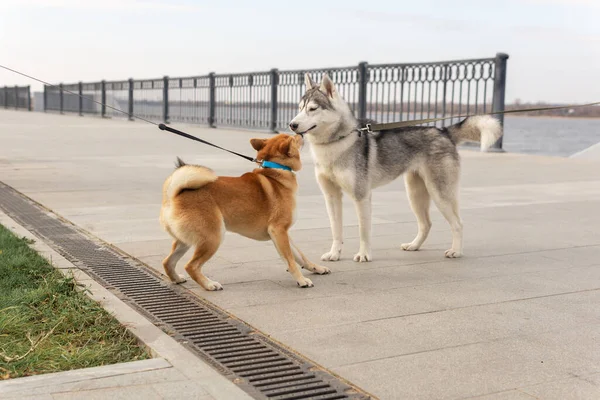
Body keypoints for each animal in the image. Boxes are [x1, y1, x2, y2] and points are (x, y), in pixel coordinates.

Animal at [290, 74, 502, 262]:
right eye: (299, 108)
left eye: (312, 109)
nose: (292, 124)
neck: (336, 143)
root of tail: (443, 131)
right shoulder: (331, 197)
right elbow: (336, 230)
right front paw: (334, 254)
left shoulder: (362, 196)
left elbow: (363, 230)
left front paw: (364, 255)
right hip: (415, 194)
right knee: (426, 224)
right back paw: (414, 245)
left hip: (440, 194)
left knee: (458, 223)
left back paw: (456, 251)